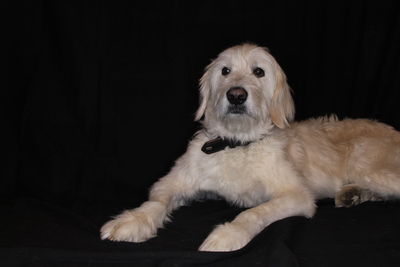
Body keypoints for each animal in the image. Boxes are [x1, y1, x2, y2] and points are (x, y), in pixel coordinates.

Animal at [100, 43, 400, 252]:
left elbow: (254, 212)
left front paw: (228, 234)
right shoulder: (174, 182)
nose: (236, 95)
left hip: (367, 165)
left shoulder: (297, 196)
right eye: (225, 71)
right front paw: (131, 221)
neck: (237, 144)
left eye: (259, 72)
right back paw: (353, 194)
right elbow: (156, 201)